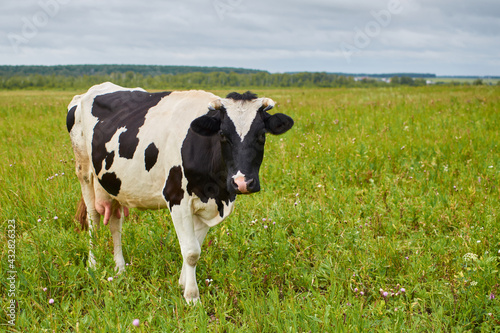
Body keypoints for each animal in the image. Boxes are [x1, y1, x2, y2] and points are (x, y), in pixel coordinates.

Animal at [66, 81, 292, 302]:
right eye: (222, 134)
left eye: (261, 135)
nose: (242, 182)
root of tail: (88, 92)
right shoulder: (176, 198)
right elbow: (191, 251)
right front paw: (192, 296)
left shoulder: (207, 203)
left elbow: (195, 247)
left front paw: (183, 284)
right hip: (84, 172)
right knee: (93, 219)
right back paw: (93, 265)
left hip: (114, 183)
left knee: (115, 223)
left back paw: (120, 268)